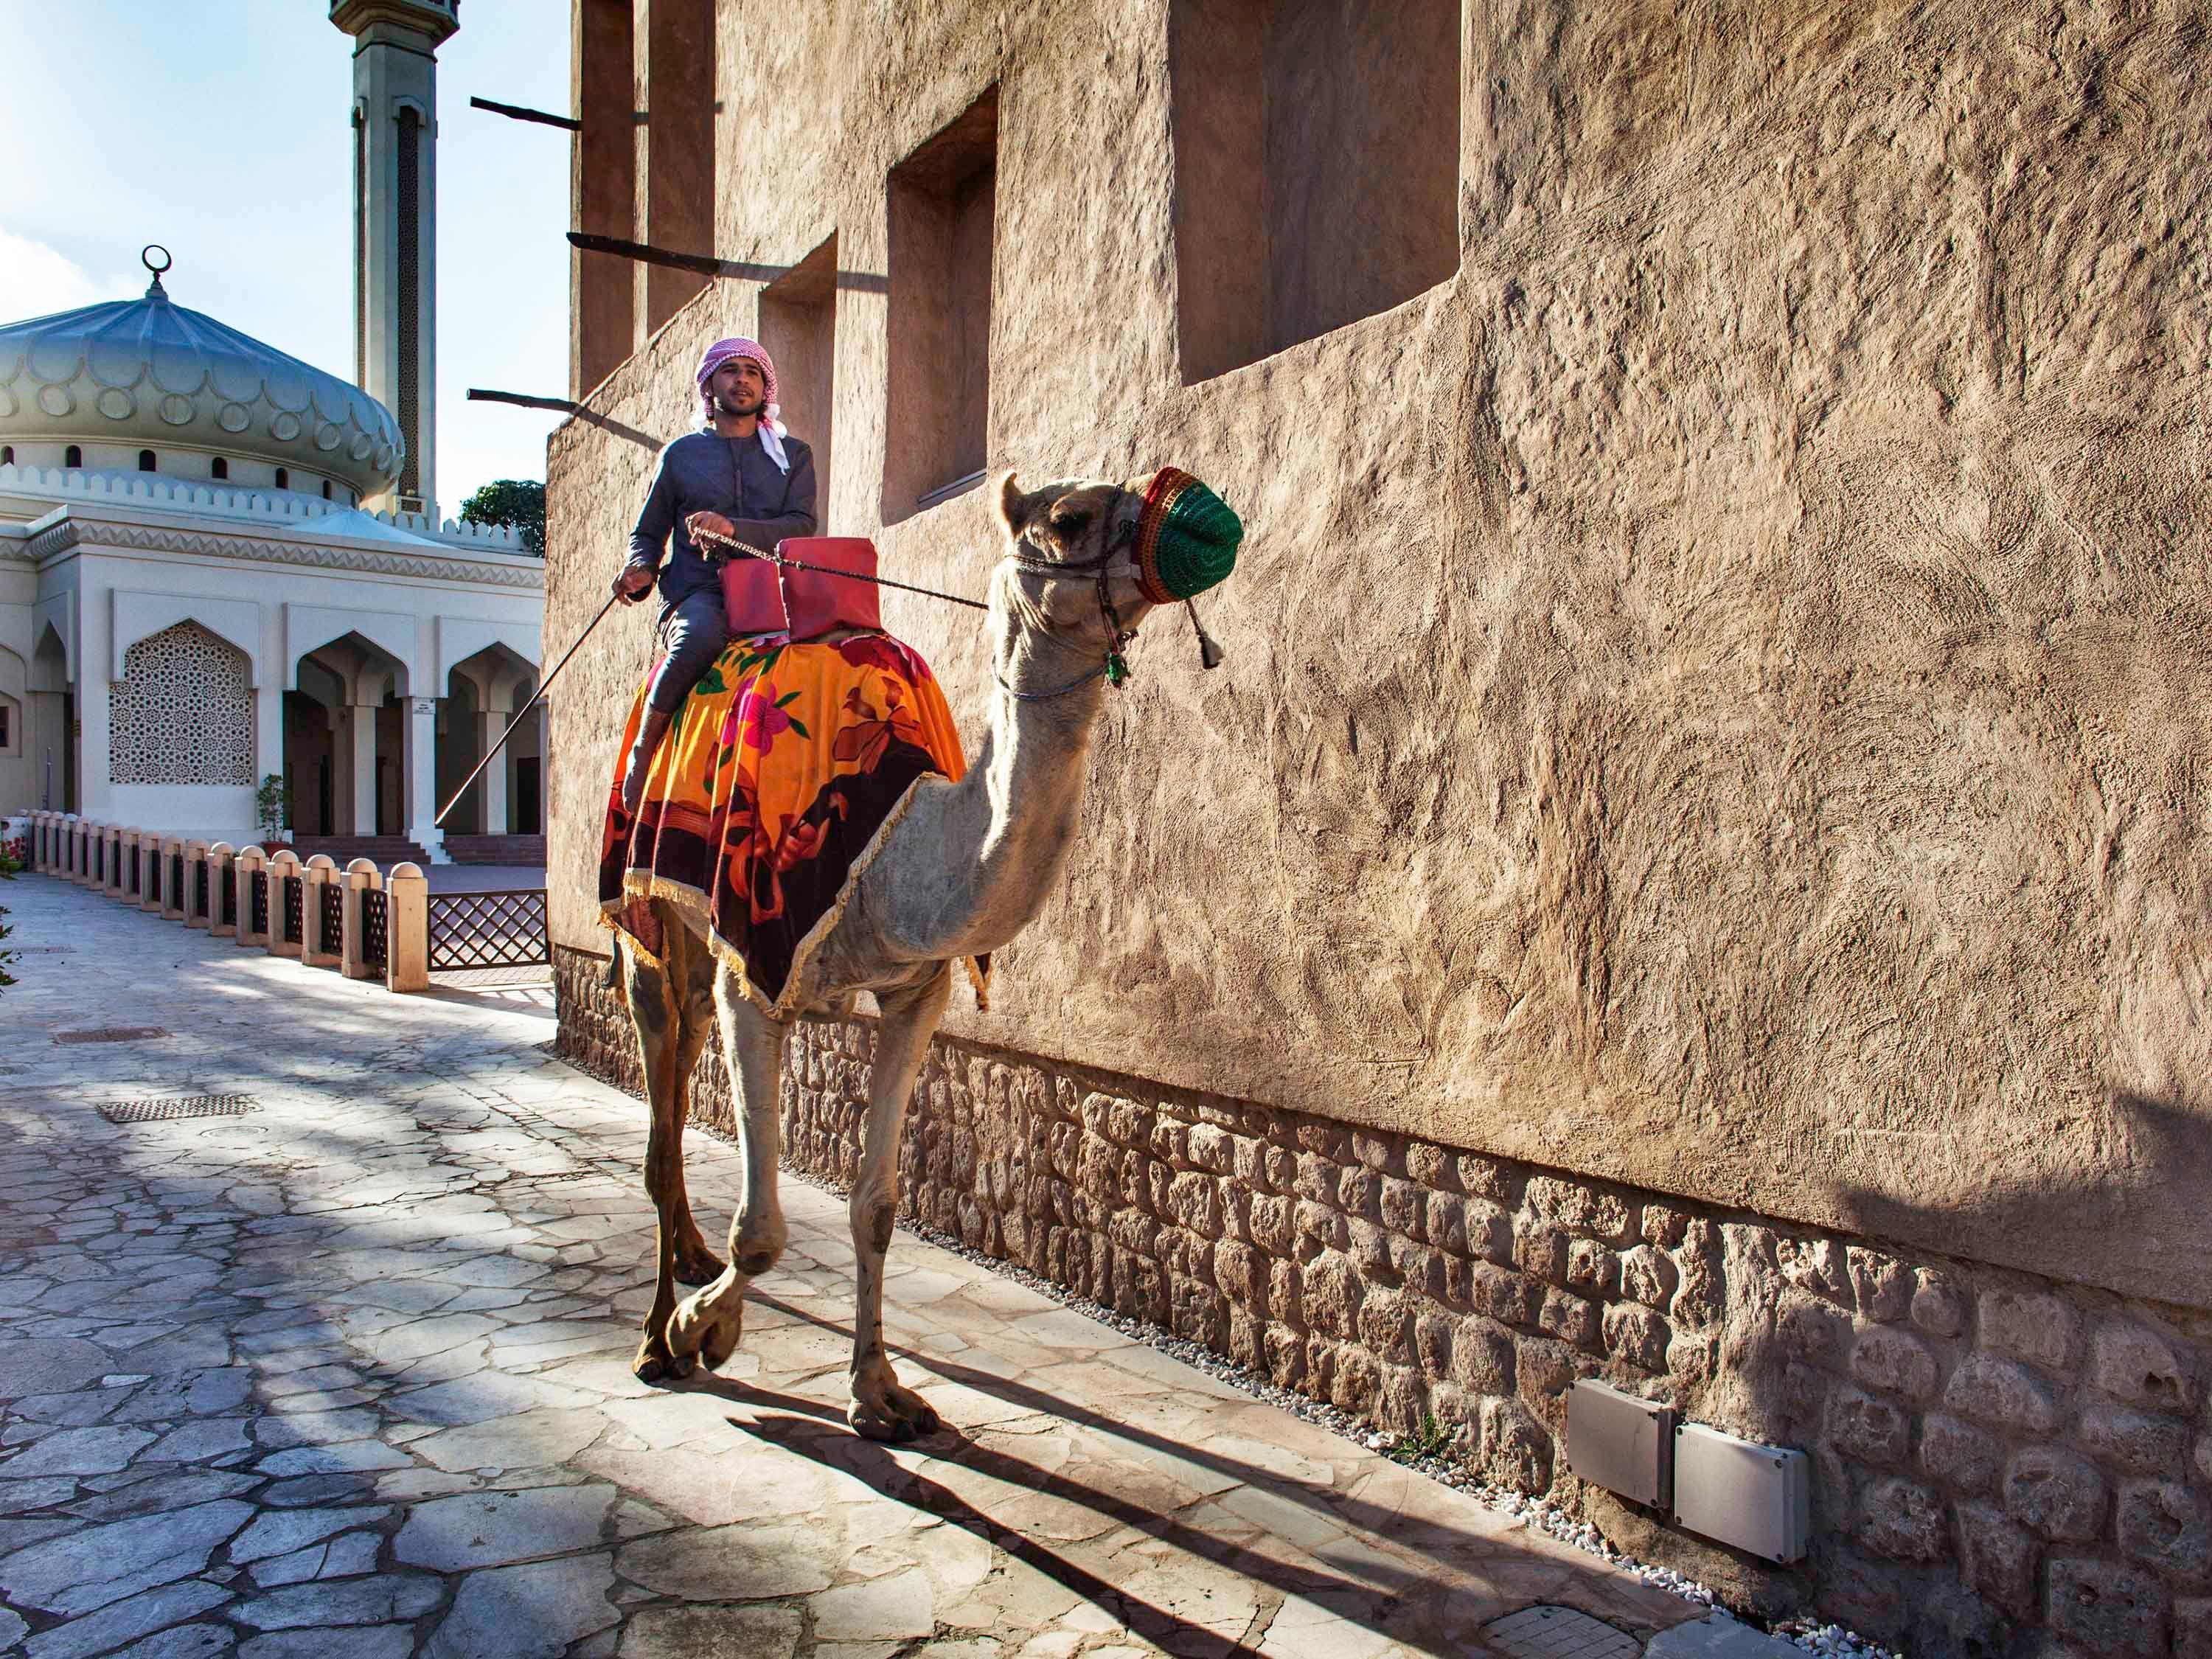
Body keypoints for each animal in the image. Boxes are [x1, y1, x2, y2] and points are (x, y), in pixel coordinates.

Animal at [615, 469, 1221, 1442]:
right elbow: (764, 1230)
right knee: (661, 1100)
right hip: (644, 910)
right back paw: (653, 1331)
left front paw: (879, 1393)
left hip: (706, 952)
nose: (1201, 519)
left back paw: (694, 1264)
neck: (898, 847)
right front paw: (696, 1330)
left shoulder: (916, 992)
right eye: (1070, 517)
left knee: (685, 1046)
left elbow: (877, 1205)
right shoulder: (760, 964)